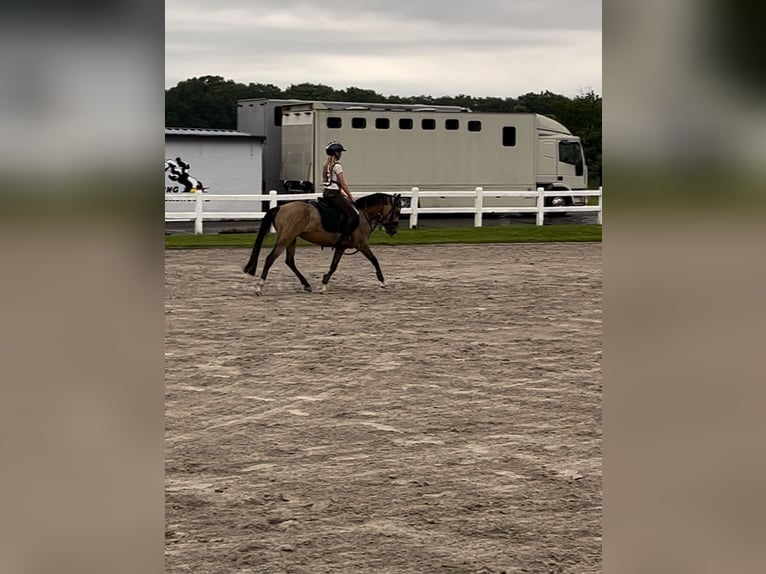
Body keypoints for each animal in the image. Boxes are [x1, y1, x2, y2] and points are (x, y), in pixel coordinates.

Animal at [244, 194, 402, 296]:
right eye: (396, 210)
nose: (393, 230)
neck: (363, 214)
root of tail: (281, 208)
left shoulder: (341, 247)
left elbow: (333, 266)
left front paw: (324, 284)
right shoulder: (362, 244)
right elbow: (375, 260)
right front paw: (382, 282)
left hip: (291, 238)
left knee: (290, 261)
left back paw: (307, 285)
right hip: (286, 238)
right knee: (270, 258)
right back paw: (259, 287)